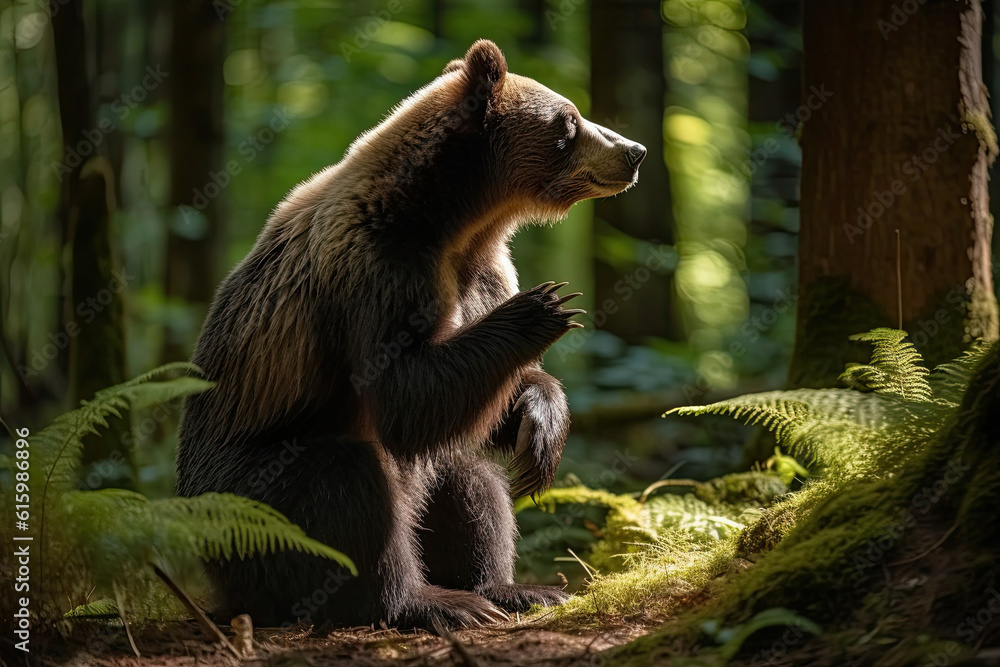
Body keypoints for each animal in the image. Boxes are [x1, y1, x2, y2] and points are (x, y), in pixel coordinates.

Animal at [175, 39, 645, 630]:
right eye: (569, 121)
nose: (635, 150)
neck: (455, 222)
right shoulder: (378, 269)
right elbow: (402, 394)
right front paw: (543, 307)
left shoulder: (482, 272)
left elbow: (483, 403)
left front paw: (541, 429)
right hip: (247, 495)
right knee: (349, 485)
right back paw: (427, 601)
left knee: (467, 476)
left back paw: (507, 588)